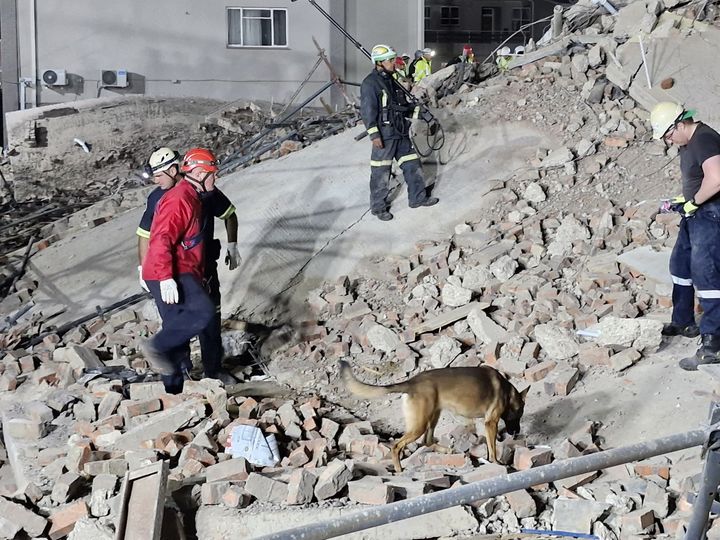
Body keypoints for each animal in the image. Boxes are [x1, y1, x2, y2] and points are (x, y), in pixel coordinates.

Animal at [338, 360, 528, 470]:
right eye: (519, 414)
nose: (516, 432)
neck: (508, 391)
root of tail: (411, 382)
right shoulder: (491, 422)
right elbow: (493, 448)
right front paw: (496, 463)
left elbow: (490, 445)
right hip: (420, 425)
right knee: (397, 446)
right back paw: (399, 470)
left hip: (432, 417)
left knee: (427, 441)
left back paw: (448, 450)